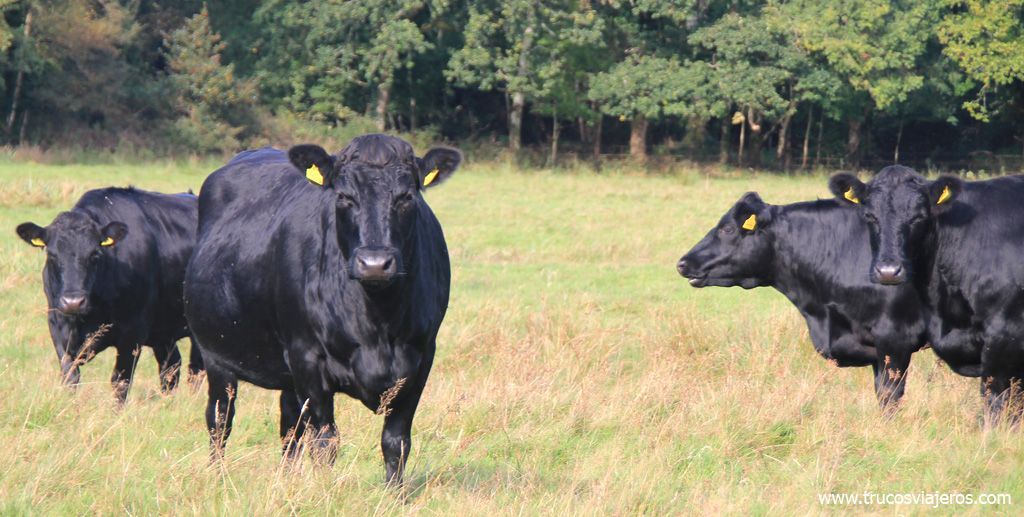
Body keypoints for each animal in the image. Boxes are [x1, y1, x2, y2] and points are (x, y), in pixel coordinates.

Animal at [16, 187, 204, 403]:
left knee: (195, 370)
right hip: (164, 329)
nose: (73, 302)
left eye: (95, 255)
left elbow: (120, 383)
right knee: (171, 369)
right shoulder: (57, 326)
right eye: (51, 255)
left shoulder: (133, 333)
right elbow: (70, 377)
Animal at [183, 135, 460, 484]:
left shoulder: (421, 359)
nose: (374, 263)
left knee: (289, 426)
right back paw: (218, 476)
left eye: (406, 196)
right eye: (344, 196)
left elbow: (396, 442)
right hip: (216, 356)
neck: (377, 323)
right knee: (220, 419)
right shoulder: (307, 359)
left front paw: (394, 493)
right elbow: (325, 441)